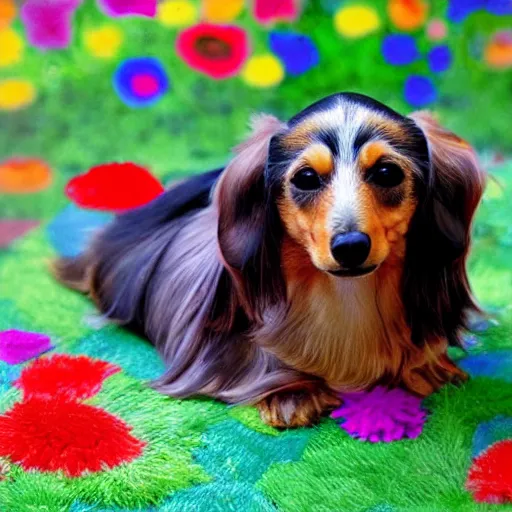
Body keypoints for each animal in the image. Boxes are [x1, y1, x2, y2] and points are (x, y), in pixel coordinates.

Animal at [54, 93, 486, 428]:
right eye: (306, 178)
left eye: (386, 172)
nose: (350, 246)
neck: (344, 294)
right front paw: (292, 393)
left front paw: (427, 365)